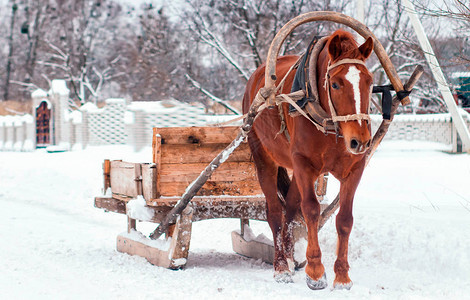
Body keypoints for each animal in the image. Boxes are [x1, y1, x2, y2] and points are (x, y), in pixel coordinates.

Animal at [242, 29, 374, 290]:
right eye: (335, 83)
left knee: (291, 209)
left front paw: (342, 276)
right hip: (265, 158)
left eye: (370, 81)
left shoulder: (354, 168)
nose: (361, 140)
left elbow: (344, 219)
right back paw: (281, 267)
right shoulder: (304, 164)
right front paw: (315, 272)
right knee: (275, 212)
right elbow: (311, 210)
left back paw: (291, 258)